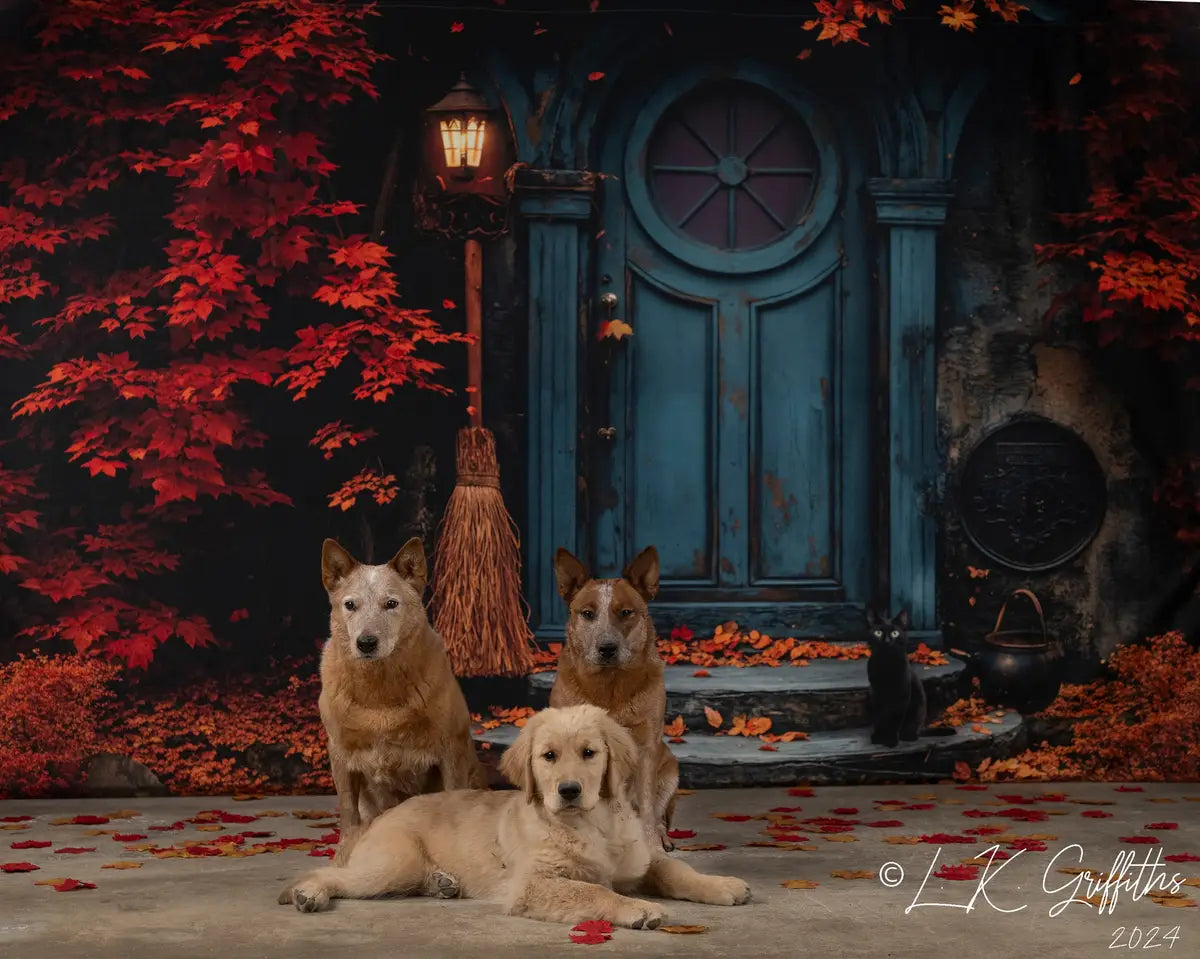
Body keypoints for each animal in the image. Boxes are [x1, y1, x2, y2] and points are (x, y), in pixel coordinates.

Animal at [279, 705, 748, 931]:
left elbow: (676, 870)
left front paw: (722, 885)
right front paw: (637, 907)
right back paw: (307, 894)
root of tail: (380, 817)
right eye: (548, 756)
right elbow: (594, 891)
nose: (569, 790)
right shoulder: (532, 884)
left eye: (590, 753)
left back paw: (443, 883)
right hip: (392, 862)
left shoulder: (640, 860)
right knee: (329, 874)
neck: (592, 825)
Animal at [321, 535, 489, 864]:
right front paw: (344, 857)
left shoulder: (450, 751)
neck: (379, 694)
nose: (366, 642)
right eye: (350, 605)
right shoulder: (340, 754)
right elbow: (347, 813)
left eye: (391, 604)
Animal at [549, 544, 681, 849]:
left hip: (670, 769)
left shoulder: (646, 748)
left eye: (626, 612)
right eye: (588, 613)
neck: (610, 690)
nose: (607, 647)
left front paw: (652, 847)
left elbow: (646, 809)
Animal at [864, 607, 926, 748]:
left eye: (895, 633)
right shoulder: (876, 694)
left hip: (918, 707)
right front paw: (878, 736)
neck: (887, 665)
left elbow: (894, 720)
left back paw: (908, 735)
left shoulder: (901, 696)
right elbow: (880, 718)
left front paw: (890, 739)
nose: (887, 641)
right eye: (878, 633)